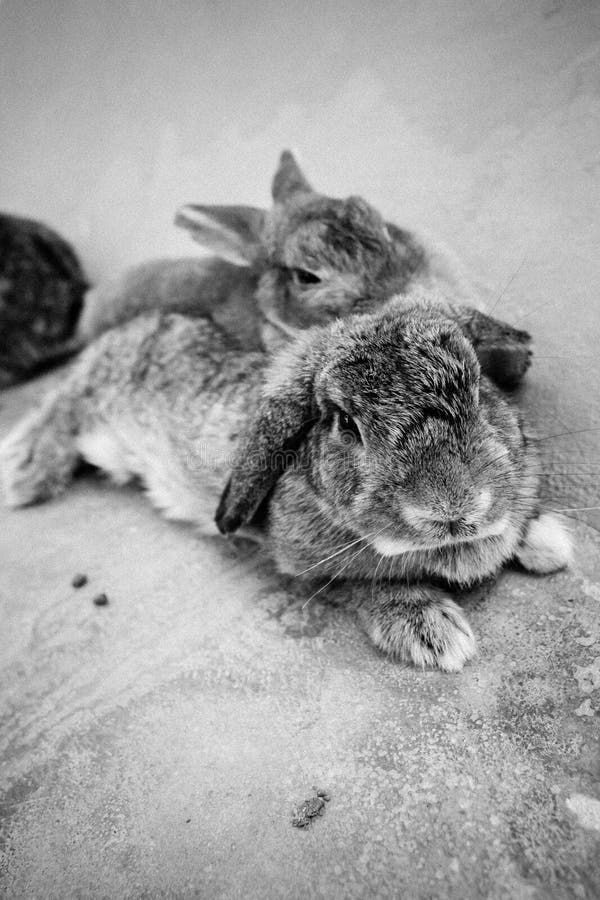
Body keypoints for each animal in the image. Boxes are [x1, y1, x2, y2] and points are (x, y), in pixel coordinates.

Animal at [0, 300, 571, 671]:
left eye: (478, 389)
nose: (452, 508)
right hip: (100, 416)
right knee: (64, 404)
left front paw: (549, 541)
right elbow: (360, 583)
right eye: (345, 424)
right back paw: (22, 473)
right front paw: (432, 631)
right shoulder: (300, 562)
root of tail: (126, 330)